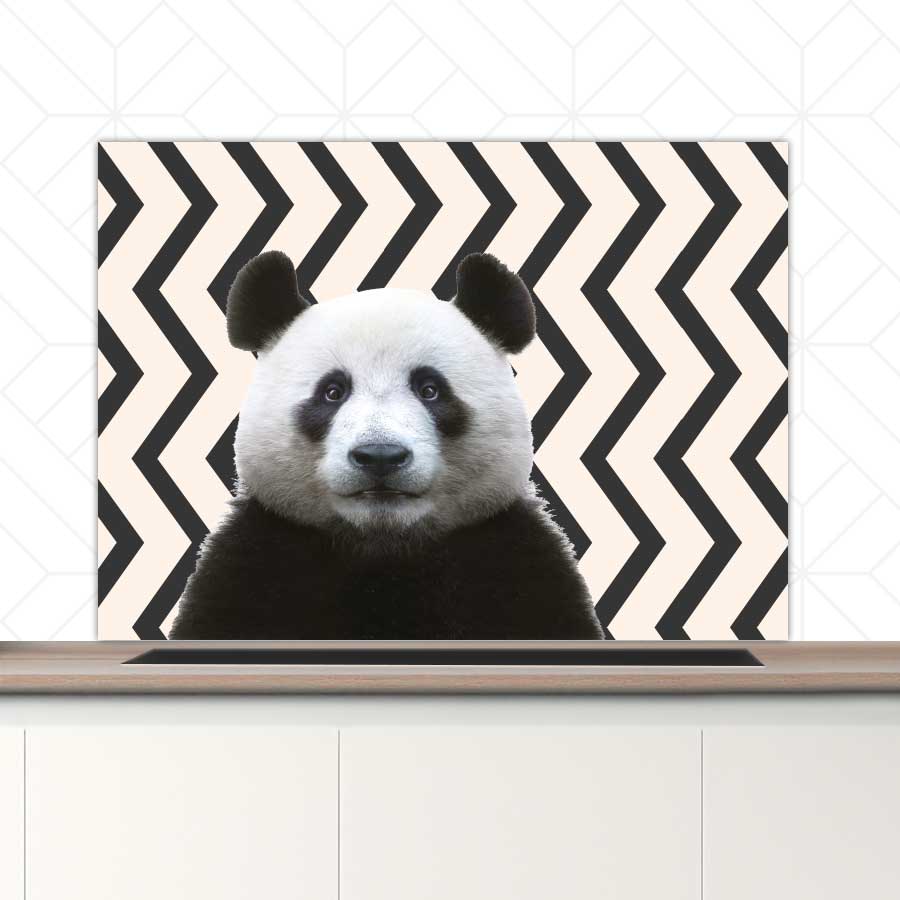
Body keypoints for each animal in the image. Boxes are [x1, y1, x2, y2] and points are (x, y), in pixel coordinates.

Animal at [169, 250, 604, 640]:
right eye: (332, 392)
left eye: (430, 389)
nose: (380, 456)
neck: (384, 548)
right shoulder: (257, 561)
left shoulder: (512, 561)